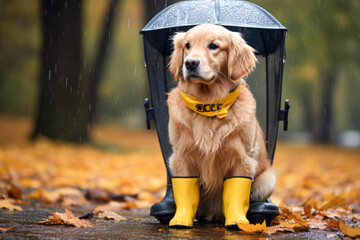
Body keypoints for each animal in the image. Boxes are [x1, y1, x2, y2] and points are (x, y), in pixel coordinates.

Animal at [167, 24, 276, 223]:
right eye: (187, 45)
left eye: (213, 45)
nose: (190, 63)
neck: (209, 104)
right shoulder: (181, 158)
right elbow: (185, 193)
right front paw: (181, 220)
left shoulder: (242, 160)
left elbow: (236, 193)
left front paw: (237, 221)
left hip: (267, 180)